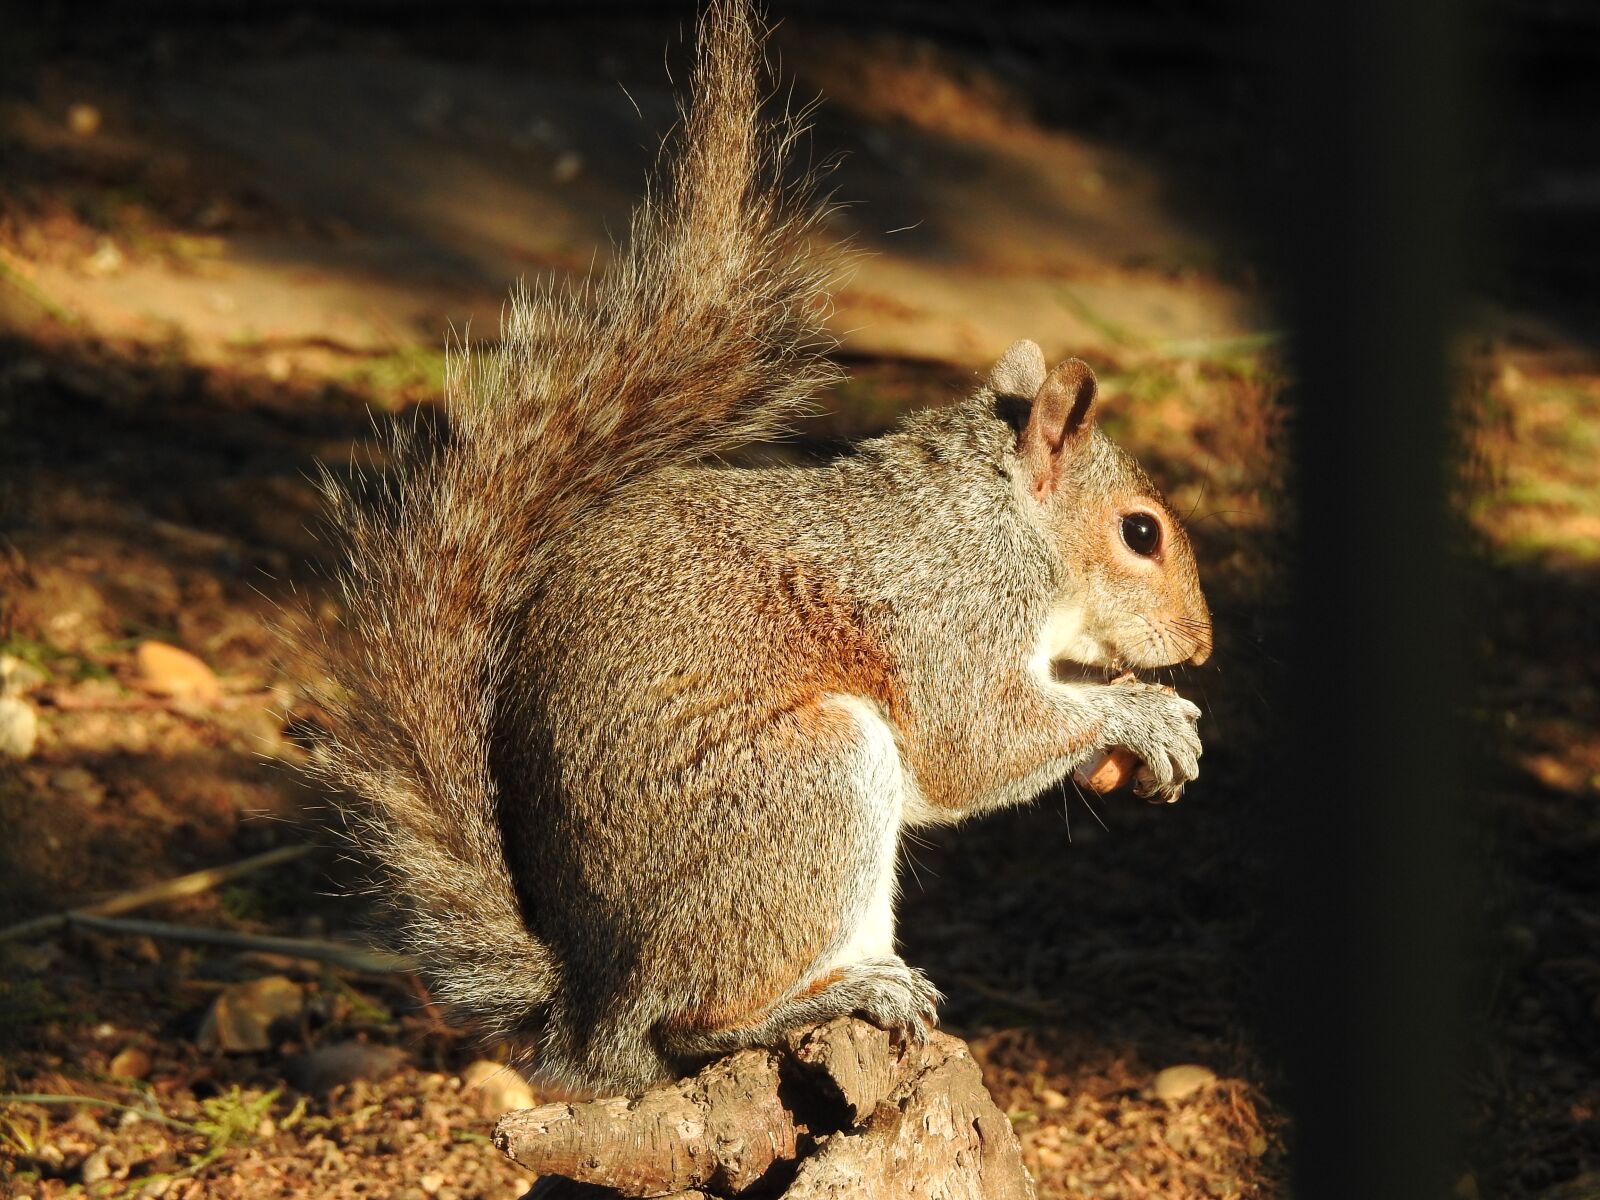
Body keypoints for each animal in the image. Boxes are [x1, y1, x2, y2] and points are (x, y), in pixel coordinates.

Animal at [310, 0, 1212, 1096]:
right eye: (1140, 532)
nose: (1201, 643)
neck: (998, 520)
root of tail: (591, 1019)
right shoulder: (949, 613)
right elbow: (974, 745)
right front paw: (1143, 713)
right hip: (804, 784)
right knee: (691, 1025)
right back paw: (826, 999)